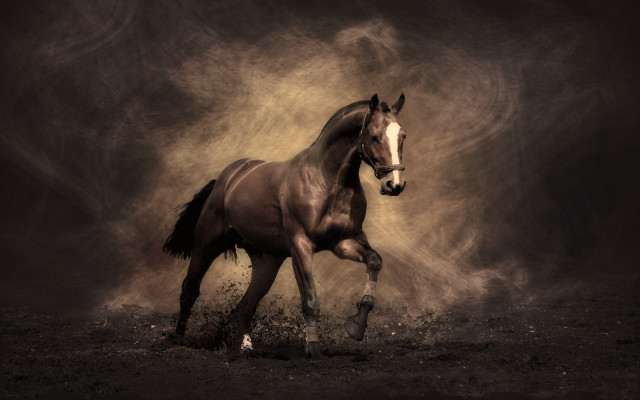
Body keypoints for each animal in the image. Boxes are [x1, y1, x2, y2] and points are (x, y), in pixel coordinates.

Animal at [163, 93, 407, 359]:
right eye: (374, 136)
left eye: (402, 136)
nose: (395, 185)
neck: (326, 182)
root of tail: (227, 179)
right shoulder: (301, 246)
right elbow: (310, 300)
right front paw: (314, 349)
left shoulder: (343, 242)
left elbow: (374, 261)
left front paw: (355, 327)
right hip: (206, 245)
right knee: (190, 289)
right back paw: (177, 339)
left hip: (267, 262)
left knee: (245, 305)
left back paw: (245, 348)